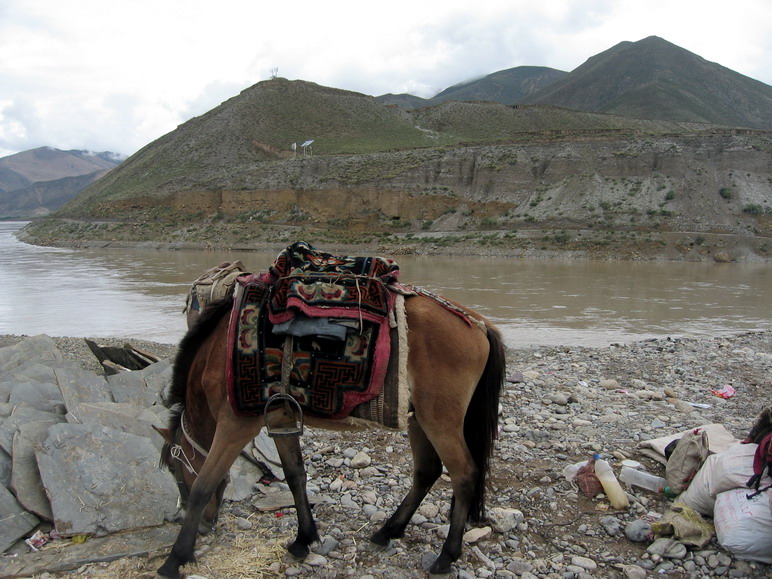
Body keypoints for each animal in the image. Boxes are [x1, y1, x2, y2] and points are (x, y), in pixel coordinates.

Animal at [155, 266, 506, 576]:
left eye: (174, 468)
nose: (205, 526)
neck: (217, 353)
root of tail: (478, 324)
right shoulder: (280, 417)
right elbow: (295, 476)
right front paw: (304, 539)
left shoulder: (235, 425)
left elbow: (204, 485)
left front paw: (175, 559)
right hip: (419, 418)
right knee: (427, 472)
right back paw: (388, 531)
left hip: (440, 421)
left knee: (464, 475)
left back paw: (446, 556)